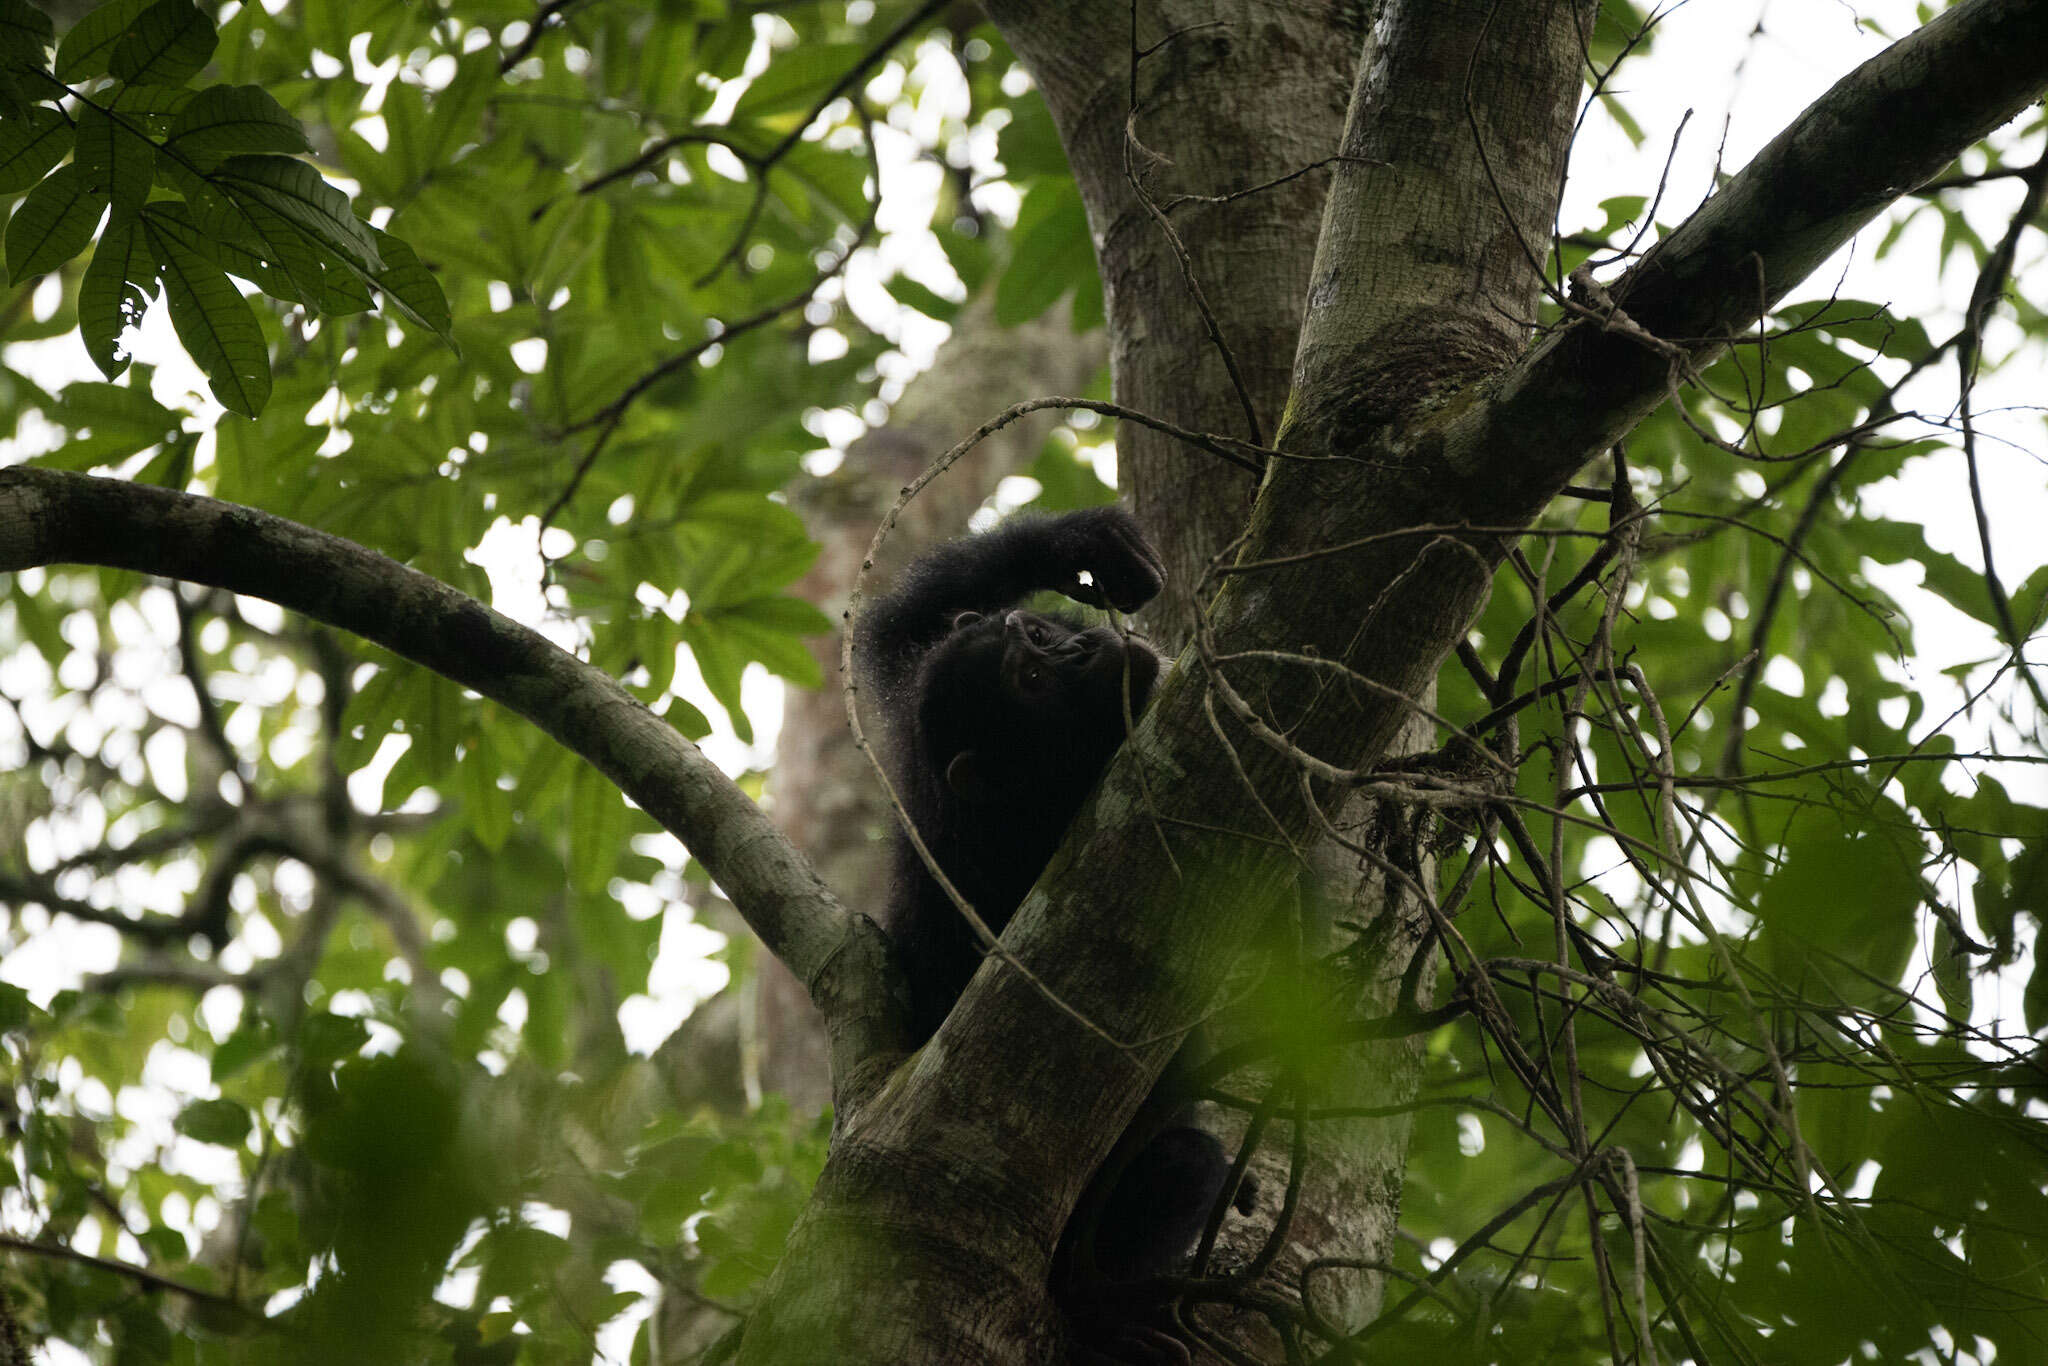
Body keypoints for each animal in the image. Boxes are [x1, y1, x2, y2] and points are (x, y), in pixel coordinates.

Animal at [851, 509, 1236, 1359]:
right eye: (1028, 683)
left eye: (1033, 631)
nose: (1076, 652)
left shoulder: (902, 704)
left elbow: (888, 629)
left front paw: (1084, 543)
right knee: (1186, 1164)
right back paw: (1110, 1315)